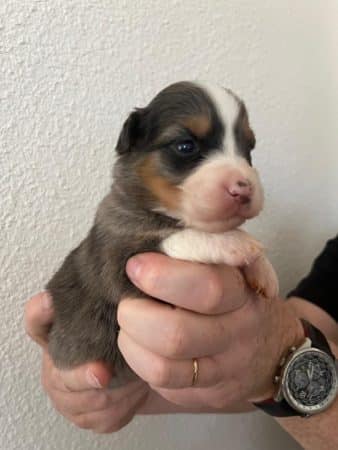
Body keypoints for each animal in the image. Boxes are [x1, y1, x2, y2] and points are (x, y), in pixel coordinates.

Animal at [47, 81, 280, 376]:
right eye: (185, 146)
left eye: (249, 148)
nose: (245, 188)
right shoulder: (116, 258)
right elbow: (177, 238)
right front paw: (235, 241)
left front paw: (264, 270)